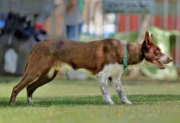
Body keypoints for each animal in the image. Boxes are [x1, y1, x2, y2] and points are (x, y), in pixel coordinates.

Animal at [9, 31, 172, 104]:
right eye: (157, 51)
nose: (170, 58)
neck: (124, 51)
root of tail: (38, 44)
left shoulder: (116, 78)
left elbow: (122, 93)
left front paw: (127, 104)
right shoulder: (102, 76)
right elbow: (106, 92)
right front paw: (109, 104)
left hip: (48, 75)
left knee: (30, 87)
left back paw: (31, 104)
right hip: (35, 70)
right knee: (17, 87)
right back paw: (12, 105)